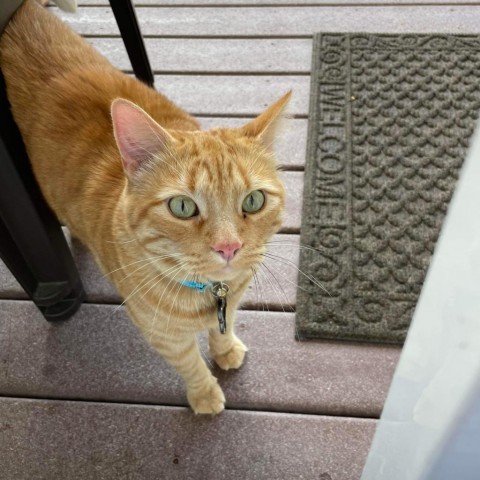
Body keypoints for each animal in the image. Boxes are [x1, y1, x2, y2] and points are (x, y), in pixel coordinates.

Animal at [0, 0, 288, 412]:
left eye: (253, 200)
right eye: (182, 207)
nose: (229, 247)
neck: (210, 292)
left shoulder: (231, 301)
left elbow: (224, 328)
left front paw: (226, 349)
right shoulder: (163, 335)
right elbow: (190, 364)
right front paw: (204, 394)